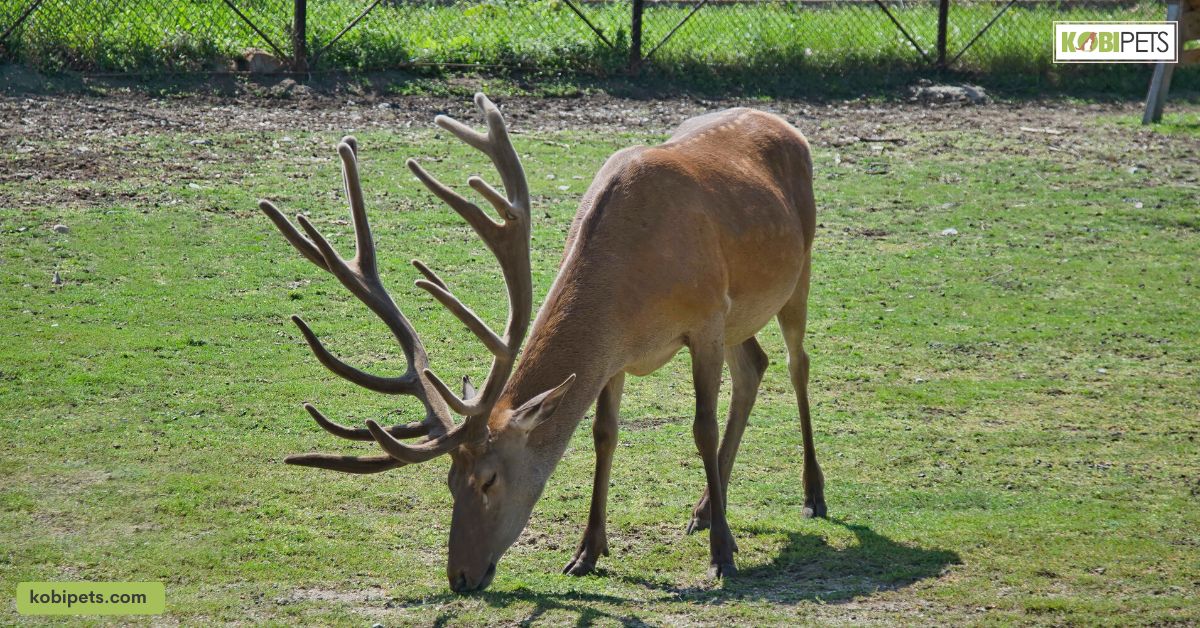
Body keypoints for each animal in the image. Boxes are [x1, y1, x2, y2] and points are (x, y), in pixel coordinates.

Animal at [259, 93, 824, 593]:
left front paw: (723, 556)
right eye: (449, 482)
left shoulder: (705, 320)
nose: (460, 576)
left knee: (796, 362)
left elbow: (701, 429)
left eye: (489, 480)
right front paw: (587, 552)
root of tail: (787, 125)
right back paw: (706, 507)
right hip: (742, 315)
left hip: (797, 270)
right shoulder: (616, 354)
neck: (632, 285)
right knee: (754, 365)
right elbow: (603, 434)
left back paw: (811, 495)